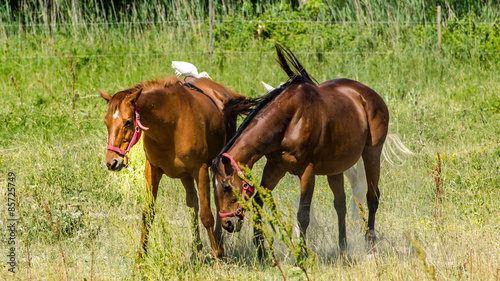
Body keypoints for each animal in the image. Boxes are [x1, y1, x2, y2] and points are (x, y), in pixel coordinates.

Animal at [99, 75, 256, 258]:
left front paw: (216, 255)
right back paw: (197, 249)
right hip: (185, 175)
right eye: (106, 122)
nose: (112, 161)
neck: (171, 124)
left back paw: (219, 244)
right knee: (193, 202)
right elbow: (148, 214)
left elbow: (207, 215)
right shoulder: (152, 170)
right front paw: (141, 258)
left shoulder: (200, 170)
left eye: (128, 122)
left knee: (216, 203)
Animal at [211, 44, 390, 258]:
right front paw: (261, 251)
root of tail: (370, 95)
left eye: (226, 186)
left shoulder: (307, 171)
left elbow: (303, 214)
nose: (227, 223)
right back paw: (343, 248)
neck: (290, 118)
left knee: (372, 197)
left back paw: (370, 245)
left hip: (371, 155)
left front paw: (302, 254)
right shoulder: (275, 167)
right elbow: (258, 203)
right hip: (335, 168)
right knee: (341, 205)